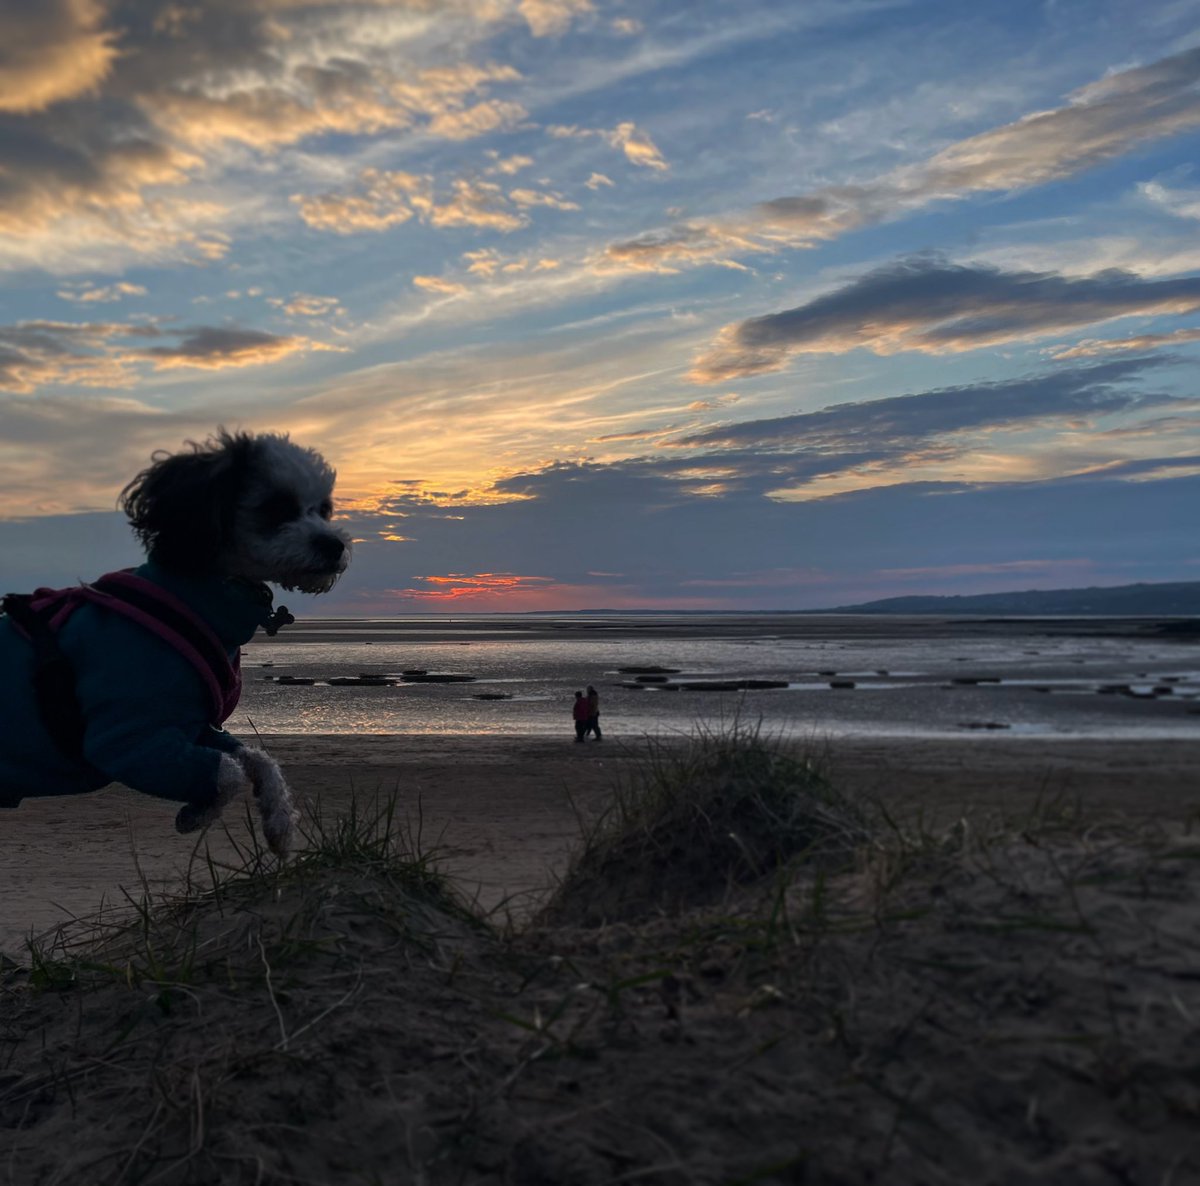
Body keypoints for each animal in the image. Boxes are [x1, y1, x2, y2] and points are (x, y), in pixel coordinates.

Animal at [1, 429, 350, 854]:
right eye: (276, 507)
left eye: (324, 509)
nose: (334, 545)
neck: (194, 594)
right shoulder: (125, 741)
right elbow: (229, 773)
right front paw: (199, 811)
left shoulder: (192, 726)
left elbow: (256, 757)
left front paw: (280, 822)